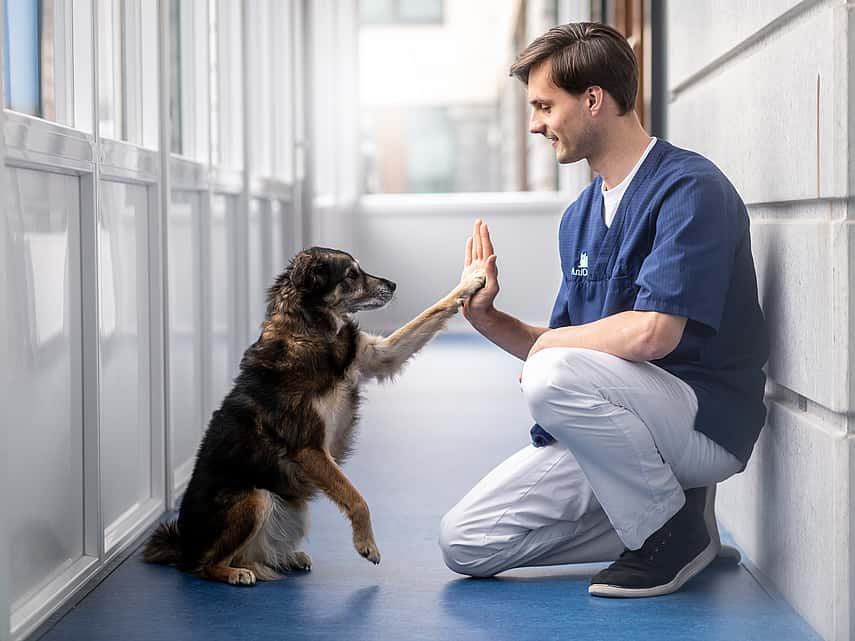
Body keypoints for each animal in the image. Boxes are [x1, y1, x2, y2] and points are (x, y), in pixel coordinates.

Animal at [144, 246, 484, 584]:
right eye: (351, 275)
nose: (393, 285)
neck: (314, 331)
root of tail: (182, 544)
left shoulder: (379, 355)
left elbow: (434, 309)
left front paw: (470, 281)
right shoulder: (309, 448)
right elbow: (356, 498)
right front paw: (366, 544)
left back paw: (284, 558)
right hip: (255, 498)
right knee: (203, 565)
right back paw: (234, 572)